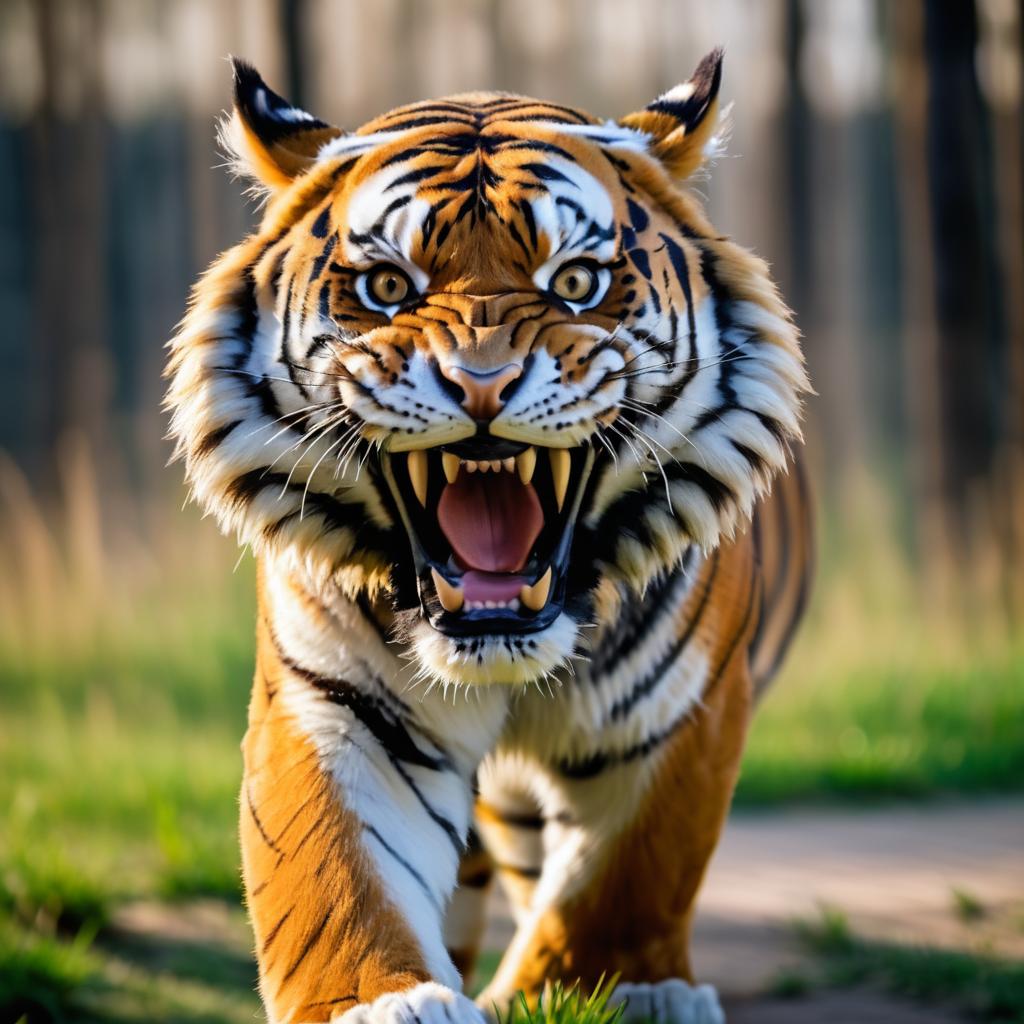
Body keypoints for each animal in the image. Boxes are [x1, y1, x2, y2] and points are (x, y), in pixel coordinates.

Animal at [163, 46, 811, 1024]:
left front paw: (611, 988)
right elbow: (334, 873)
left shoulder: (679, 714)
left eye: (575, 282)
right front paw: (382, 1002)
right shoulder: (337, 703)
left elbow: (624, 876)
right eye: (388, 287)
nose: (480, 383)